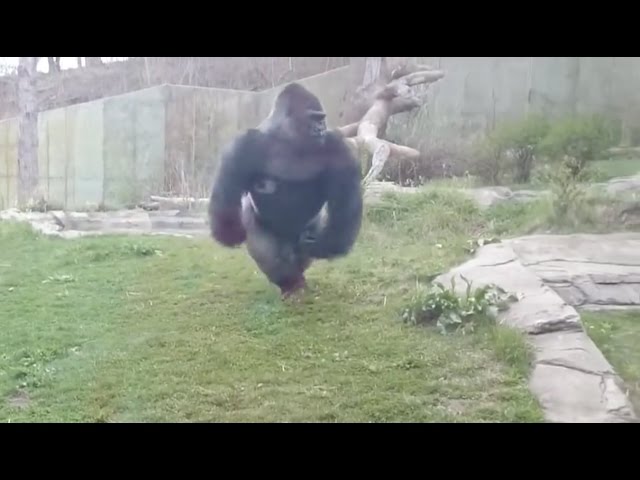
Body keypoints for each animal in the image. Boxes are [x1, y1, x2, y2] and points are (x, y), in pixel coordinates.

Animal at [210, 83, 364, 300]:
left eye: (321, 119)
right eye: (314, 118)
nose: (321, 128)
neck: (286, 138)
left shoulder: (337, 146)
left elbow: (344, 206)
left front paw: (326, 245)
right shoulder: (244, 145)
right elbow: (227, 196)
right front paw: (232, 233)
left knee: (303, 250)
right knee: (270, 254)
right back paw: (289, 283)